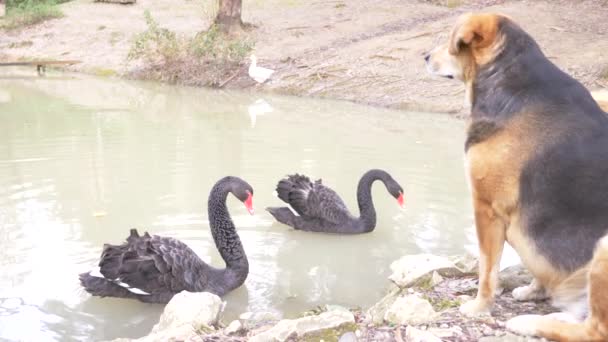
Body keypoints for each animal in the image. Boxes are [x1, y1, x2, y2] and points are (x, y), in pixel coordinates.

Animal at [422, 12, 608, 340]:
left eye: (451, 41)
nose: (426, 56)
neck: (512, 82)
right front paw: (535, 290)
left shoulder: (486, 209)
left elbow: (487, 270)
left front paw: (479, 307)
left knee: (595, 330)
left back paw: (527, 323)